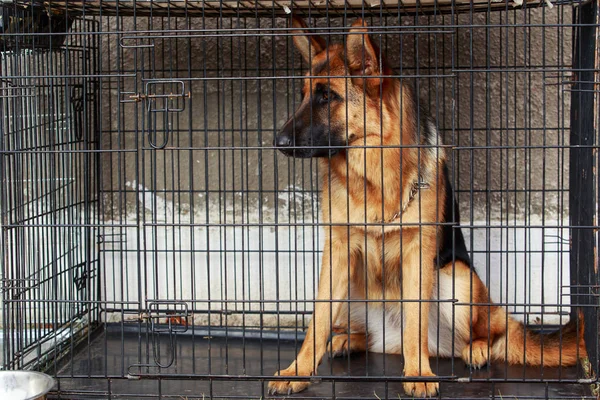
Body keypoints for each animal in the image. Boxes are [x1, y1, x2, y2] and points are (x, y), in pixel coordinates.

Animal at [268, 17, 584, 398]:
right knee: (369, 337)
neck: (375, 178)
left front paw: (418, 373)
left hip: (457, 279)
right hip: (353, 287)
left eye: (327, 96)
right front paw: (297, 371)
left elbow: (415, 320)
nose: (277, 142)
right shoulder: (338, 253)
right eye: (302, 96)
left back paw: (473, 349)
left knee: (490, 335)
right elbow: (317, 323)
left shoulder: (418, 252)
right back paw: (349, 340)